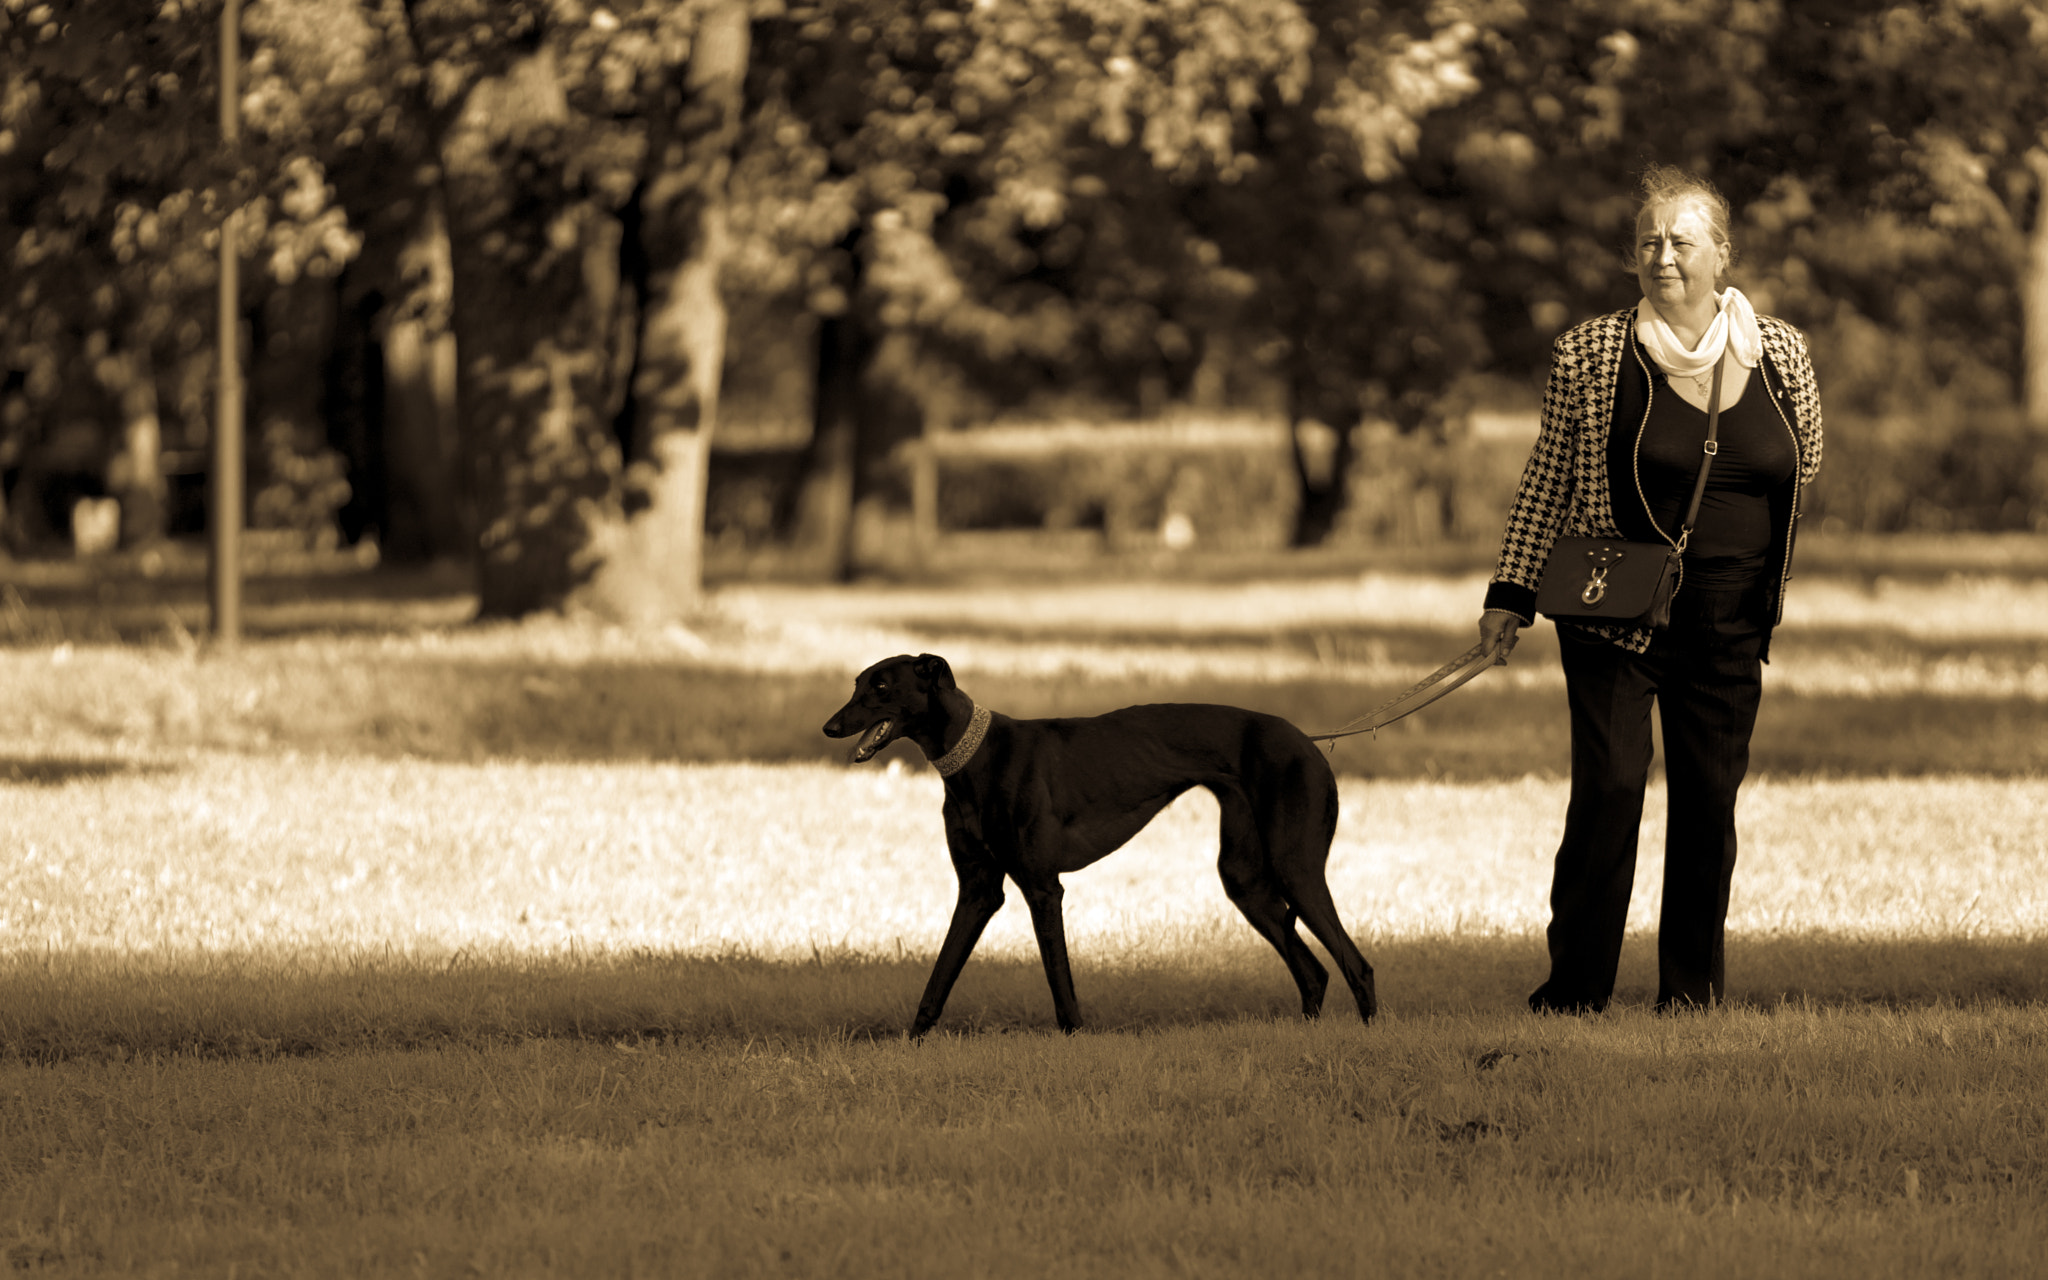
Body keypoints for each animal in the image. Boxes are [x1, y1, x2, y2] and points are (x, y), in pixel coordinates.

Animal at [819, 655, 1376, 1032]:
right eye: (856, 683)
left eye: (882, 686)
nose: (830, 726)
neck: (974, 758)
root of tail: (1308, 741)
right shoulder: (978, 891)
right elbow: (939, 976)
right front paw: (912, 1043)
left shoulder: (1043, 889)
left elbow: (1058, 977)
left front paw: (1073, 1037)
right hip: (1247, 881)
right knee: (1314, 972)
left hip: (1295, 865)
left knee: (1357, 965)